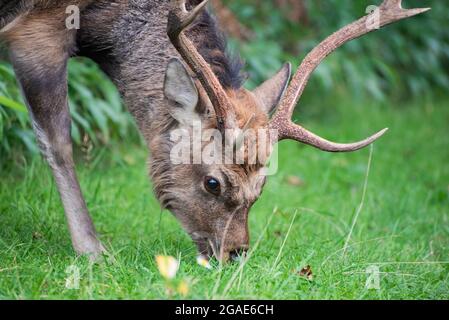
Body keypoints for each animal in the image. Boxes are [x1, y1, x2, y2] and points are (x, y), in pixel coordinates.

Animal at [0, 0, 428, 262]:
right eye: (213, 183)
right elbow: (57, 140)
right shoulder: (37, 30)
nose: (236, 253)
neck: (98, 23)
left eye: (262, 186)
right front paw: (92, 251)